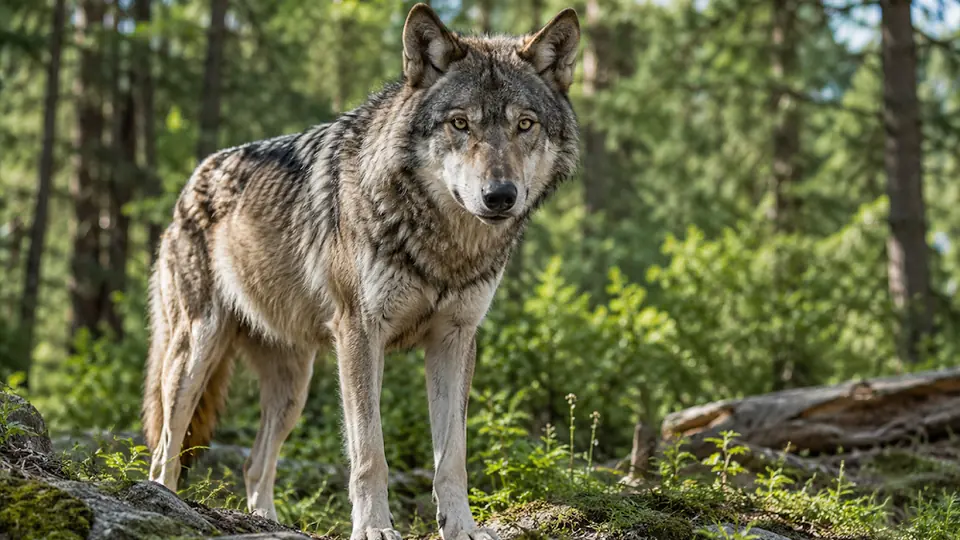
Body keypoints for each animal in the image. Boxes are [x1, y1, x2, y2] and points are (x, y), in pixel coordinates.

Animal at [142, 4, 580, 539]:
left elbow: (452, 457)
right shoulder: (359, 333)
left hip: (295, 388)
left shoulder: (455, 339)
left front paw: (461, 527)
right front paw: (374, 527)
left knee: (254, 462)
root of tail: (194, 179)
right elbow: (370, 452)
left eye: (525, 124)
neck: (444, 246)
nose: (499, 196)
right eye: (460, 123)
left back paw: (266, 521)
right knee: (165, 446)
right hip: (195, 351)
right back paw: (164, 500)